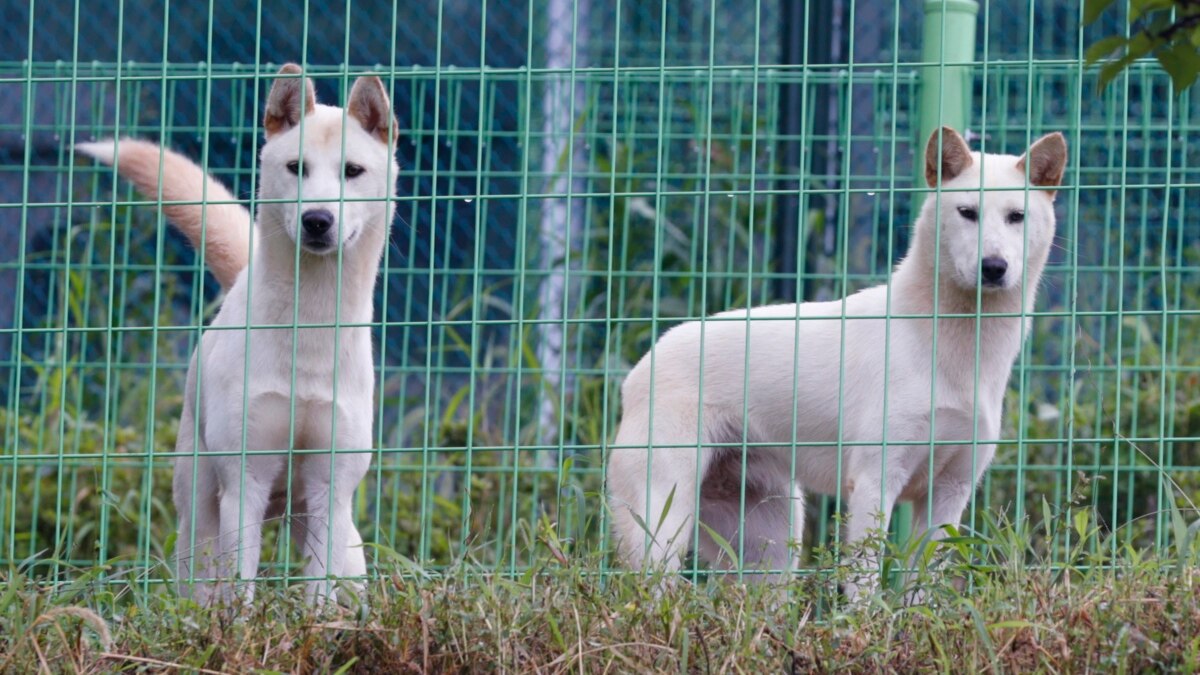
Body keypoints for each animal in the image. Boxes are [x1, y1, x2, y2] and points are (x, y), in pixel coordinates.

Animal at [77, 61, 400, 598]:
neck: (308, 325)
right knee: (201, 580)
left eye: (352, 171)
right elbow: (239, 594)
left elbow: (317, 596)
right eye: (296, 168)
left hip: (345, 543)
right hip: (199, 513)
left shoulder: (329, 490)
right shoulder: (244, 484)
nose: (317, 220)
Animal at [609, 124, 1070, 593]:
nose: (994, 267)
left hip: (771, 546)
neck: (950, 348)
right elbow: (864, 585)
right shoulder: (874, 484)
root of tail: (638, 372)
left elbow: (922, 588)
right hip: (663, 528)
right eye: (967, 212)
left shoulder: (947, 494)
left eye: (1016, 217)